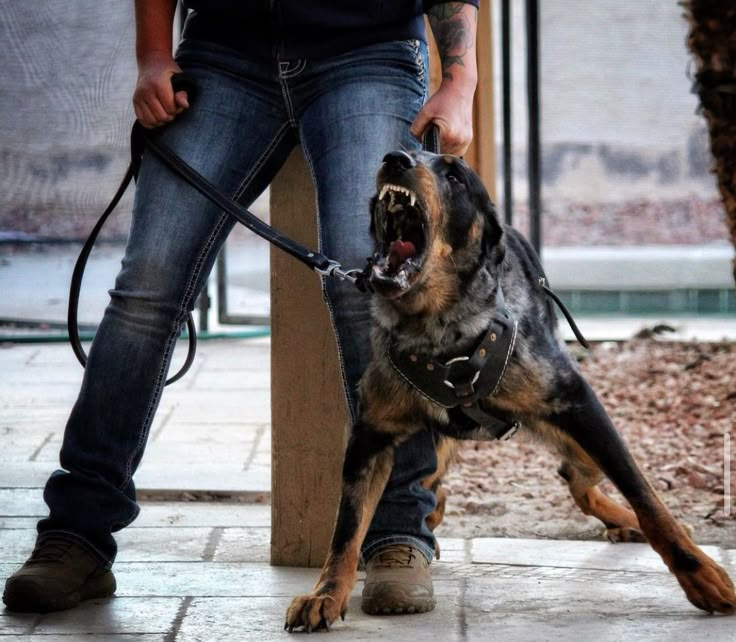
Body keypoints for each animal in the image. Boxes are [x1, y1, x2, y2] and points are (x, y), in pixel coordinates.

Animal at [284, 150, 736, 632]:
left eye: (454, 176)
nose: (395, 158)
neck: (436, 328)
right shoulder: (371, 437)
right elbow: (346, 529)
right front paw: (325, 594)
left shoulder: (578, 403)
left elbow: (649, 501)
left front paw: (702, 574)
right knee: (450, 490)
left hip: (584, 444)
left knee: (582, 481)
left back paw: (628, 522)